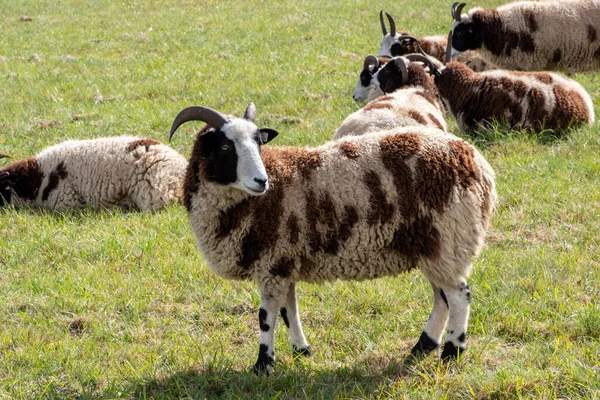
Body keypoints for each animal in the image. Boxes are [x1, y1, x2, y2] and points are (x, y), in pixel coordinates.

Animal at [169, 102, 496, 376]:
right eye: (225, 145)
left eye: (259, 144)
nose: (261, 181)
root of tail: (477, 164)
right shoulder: (284, 261)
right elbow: (288, 311)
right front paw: (301, 351)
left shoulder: (272, 262)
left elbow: (266, 316)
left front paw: (263, 364)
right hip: (430, 246)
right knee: (442, 298)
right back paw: (422, 347)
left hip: (448, 239)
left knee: (459, 295)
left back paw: (451, 353)